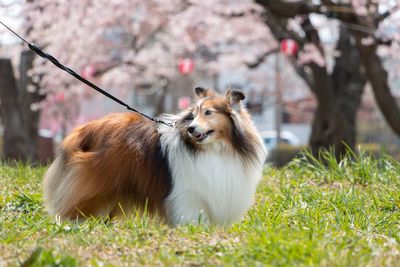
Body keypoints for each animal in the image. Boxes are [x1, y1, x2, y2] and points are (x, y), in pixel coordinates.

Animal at [43, 88, 266, 226]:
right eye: (193, 115)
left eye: (209, 113)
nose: (191, 129)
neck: (216, 149)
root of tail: (83, 130)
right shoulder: (188, 194)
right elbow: (193, 217)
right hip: (95, 186)